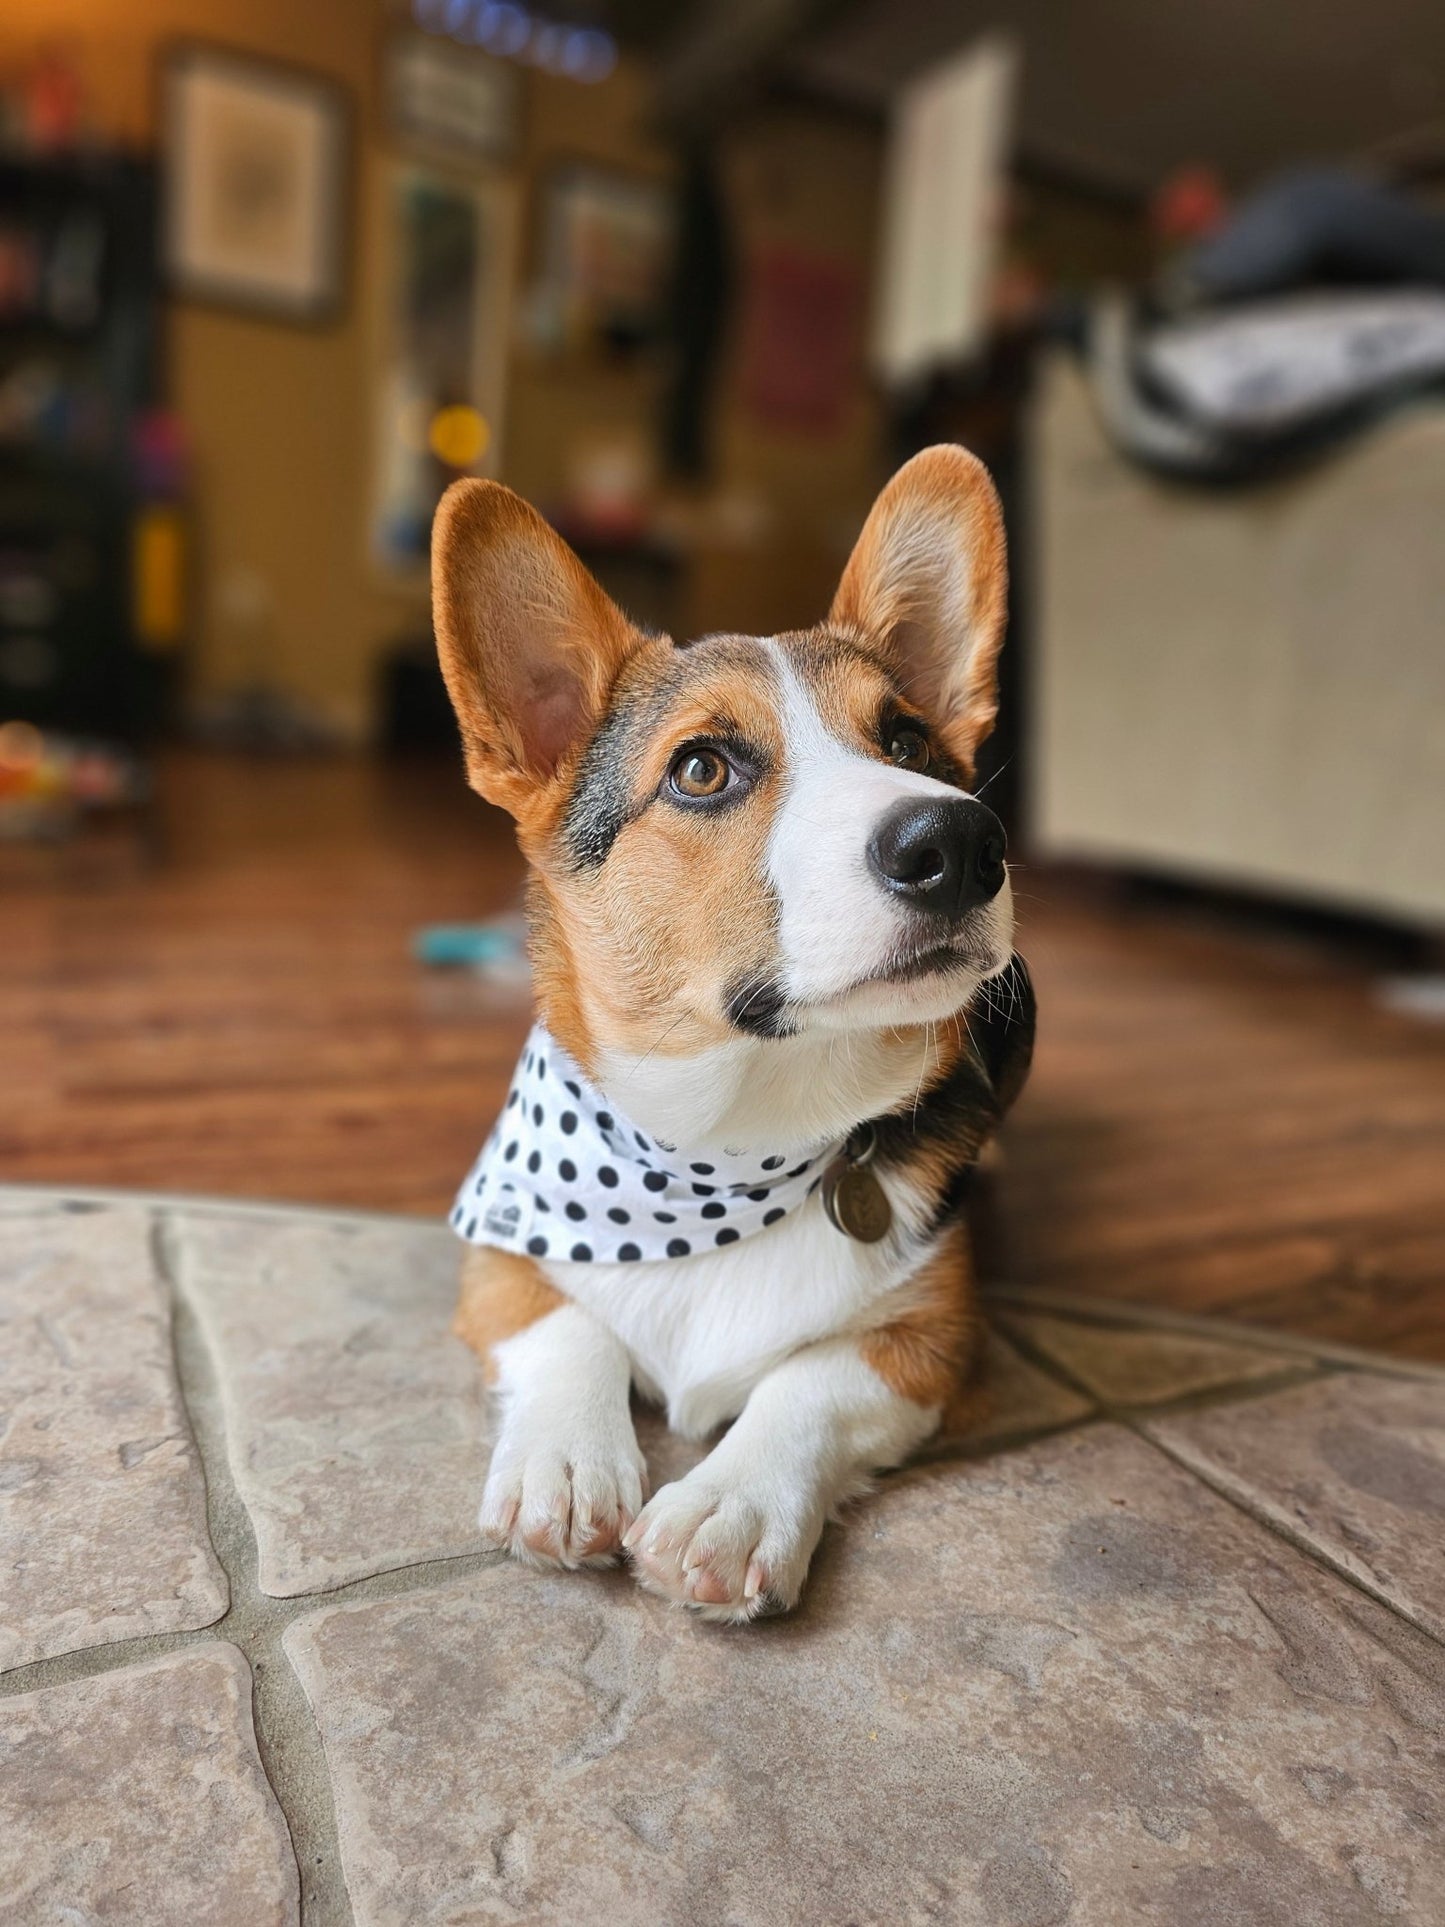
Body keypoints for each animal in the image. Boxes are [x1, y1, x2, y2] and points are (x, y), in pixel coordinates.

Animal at [435, 443, 1032, 1618]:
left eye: (907, 741)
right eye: (701, 767)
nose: (960, 842)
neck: (724, 1146)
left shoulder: (933, 1334)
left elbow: (808, 1381)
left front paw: (728, 1505)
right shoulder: (495, 1251)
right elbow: (565, 1326)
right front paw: (566, 1465)